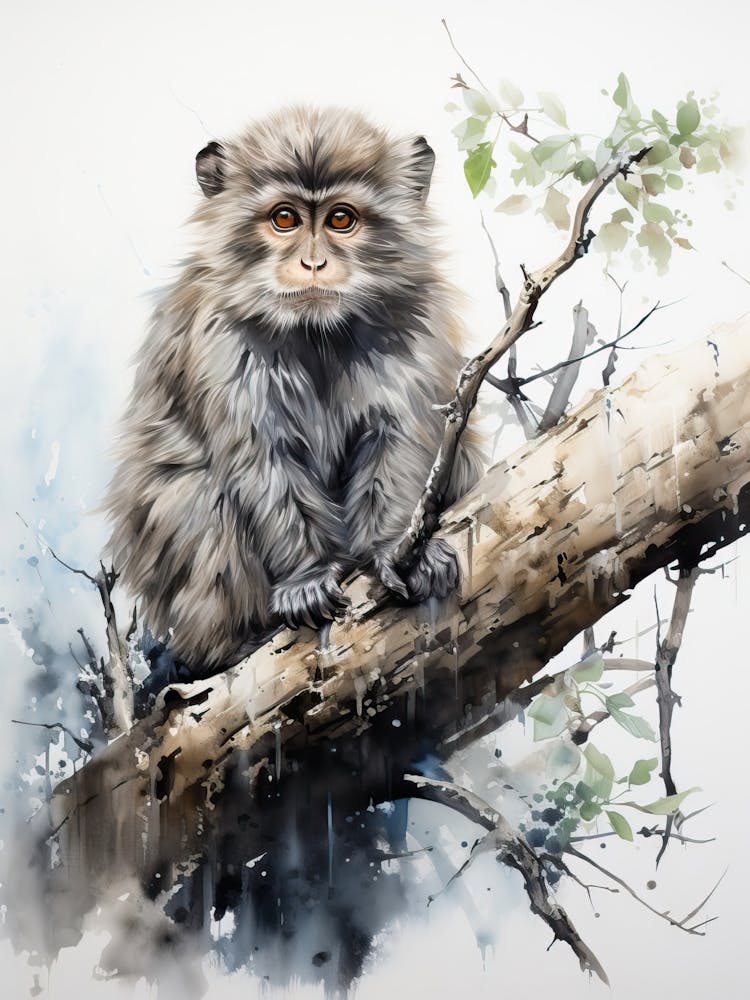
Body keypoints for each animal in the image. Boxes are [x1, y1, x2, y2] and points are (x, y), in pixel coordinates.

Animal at [104, 106, 484, 687]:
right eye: (284, 219)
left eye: (341, 220)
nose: (313, 264)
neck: (317, 335)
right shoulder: (221, 342)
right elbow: (264, 459)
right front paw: (306, 577)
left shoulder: (413, 324)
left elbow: (398, 437)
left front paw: (396, 550)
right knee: (193, 493)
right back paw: (231, 645)